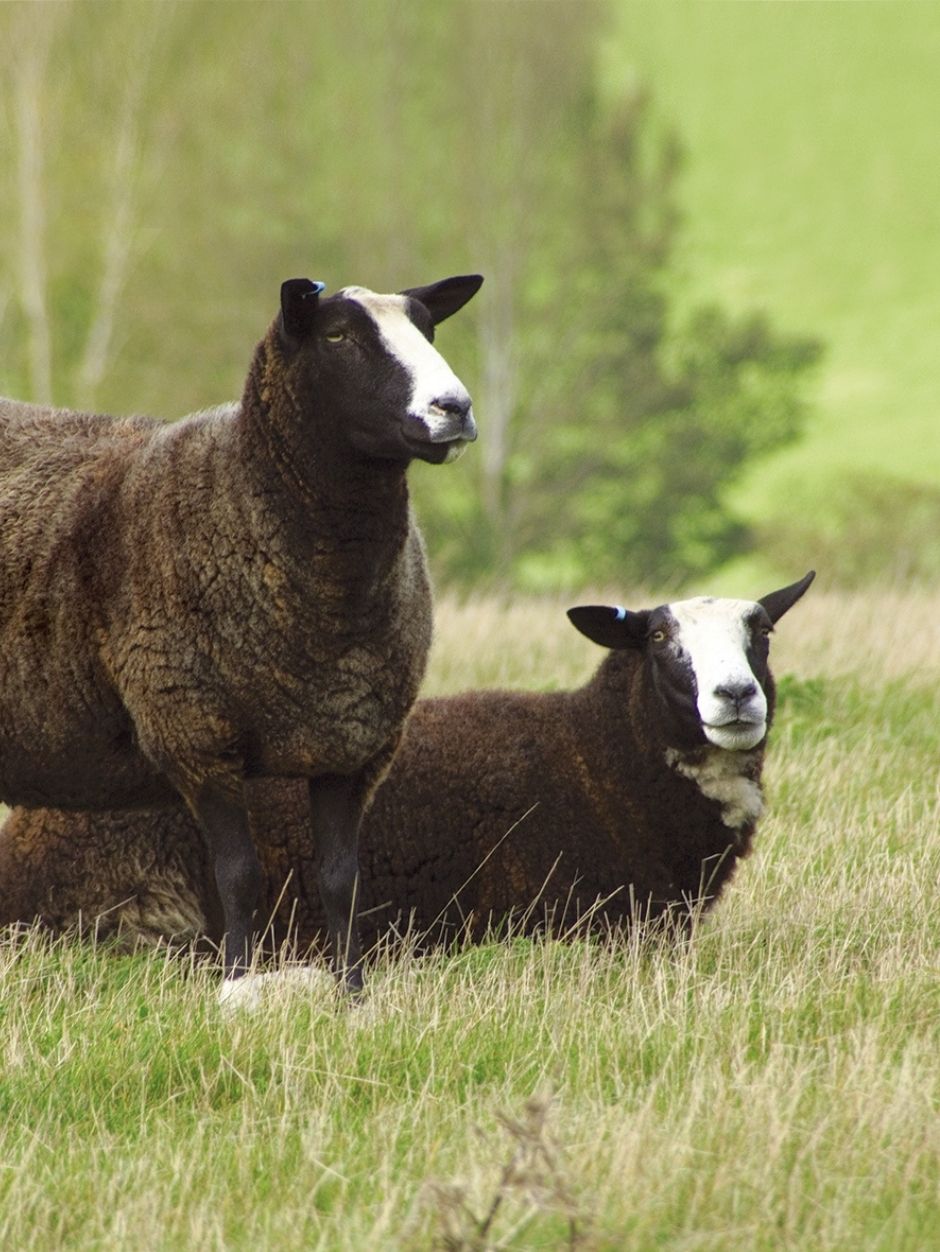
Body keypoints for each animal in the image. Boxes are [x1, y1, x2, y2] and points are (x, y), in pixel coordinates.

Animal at [0, 271, 483, 1005]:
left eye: (428, 327)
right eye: (337, 335)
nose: (453, 409)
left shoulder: (354, 745)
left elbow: (341, 880)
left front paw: (352, 994)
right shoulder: (196, 732)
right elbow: (238, 877)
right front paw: (234, 988)